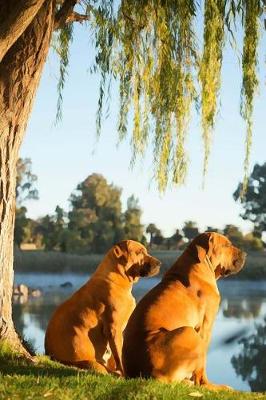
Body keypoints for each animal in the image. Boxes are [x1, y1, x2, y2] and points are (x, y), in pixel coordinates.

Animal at [44, 241, 160, 376]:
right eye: (139, 252)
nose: (159, 263)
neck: (117, 279)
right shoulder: (114, 329)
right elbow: (119, 356)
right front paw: (123, 374)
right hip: (94, 363)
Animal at [121, 233, 246, 390]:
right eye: (227, 245)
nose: (245, 254)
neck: (198, 264)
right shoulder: (205, 327)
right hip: (189, 332)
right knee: (200, 381)